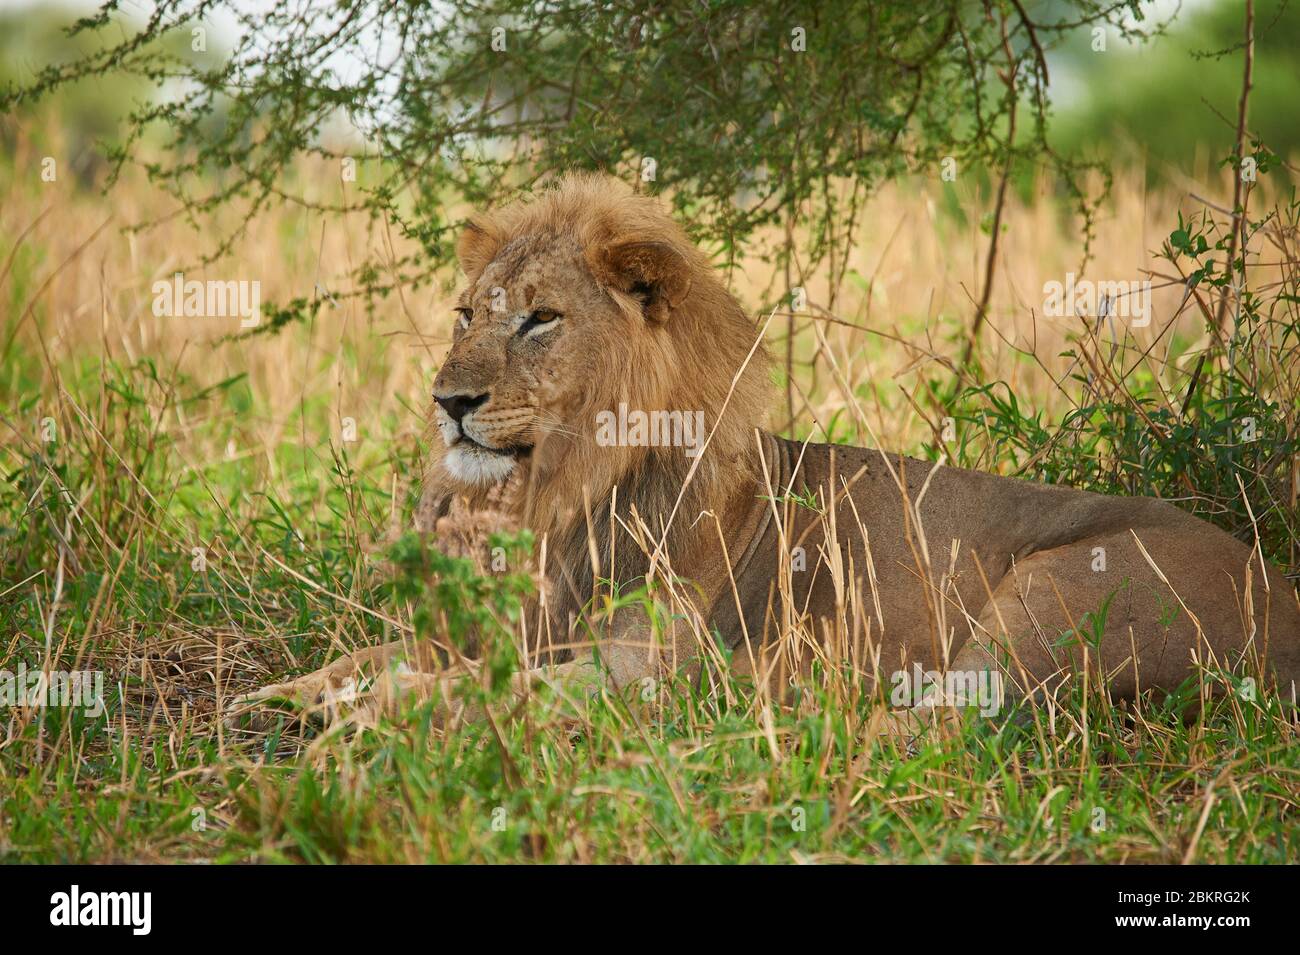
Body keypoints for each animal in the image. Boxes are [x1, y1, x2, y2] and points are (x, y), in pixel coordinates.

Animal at [233, 174, 1300, 722]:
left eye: (539, 319)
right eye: (465, 314)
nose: (448, 401)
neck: (568, 491)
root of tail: (1283, 596)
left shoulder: (637, 665)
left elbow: (479, 686)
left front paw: (371, 716)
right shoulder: (517, 621)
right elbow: (370, 649)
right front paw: (280, 696)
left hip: (1054, 593)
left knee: (945, 719)